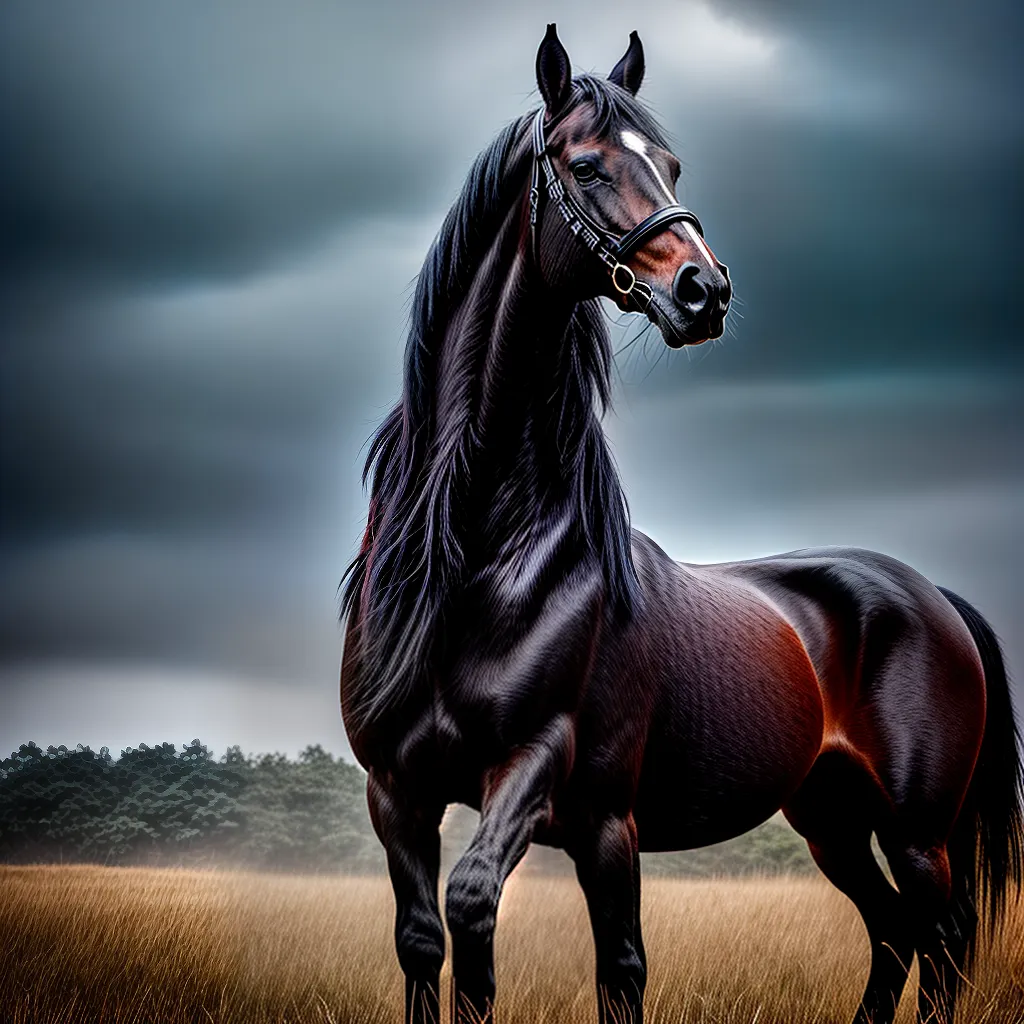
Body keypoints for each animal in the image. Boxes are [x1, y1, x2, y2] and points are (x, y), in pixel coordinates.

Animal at [340, 25, 1023, 1024]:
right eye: (584, 165)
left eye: (668, 165)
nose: (706, 290)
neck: (479, 556)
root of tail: (933, 596)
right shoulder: (397, 791)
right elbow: (431, 942)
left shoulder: (570, 794)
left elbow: (579, 950)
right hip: (831, 820)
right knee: (896, 934)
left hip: (918, 832)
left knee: (937, 942)